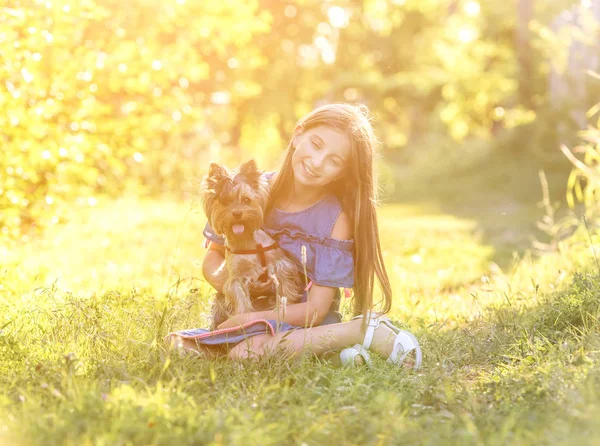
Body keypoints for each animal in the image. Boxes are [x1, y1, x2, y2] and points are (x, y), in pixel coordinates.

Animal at [202, 159, 304, 328]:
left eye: (246, 200)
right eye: (225, 201)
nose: (237, 213)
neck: (245, 240)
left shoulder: (280, 264)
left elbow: (284, 286)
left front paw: (286, 305)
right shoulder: (236, 278)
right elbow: (240, 298)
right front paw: (243, 318)